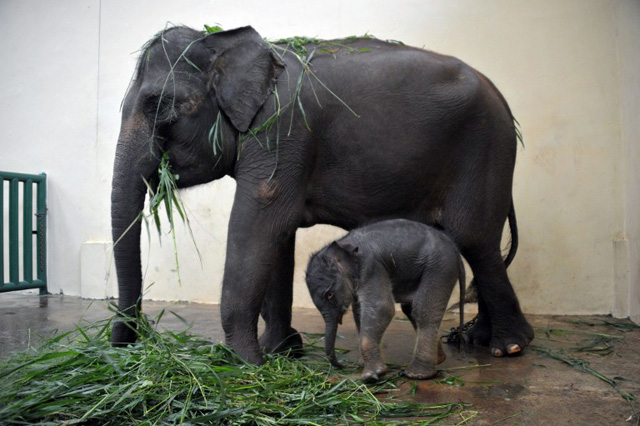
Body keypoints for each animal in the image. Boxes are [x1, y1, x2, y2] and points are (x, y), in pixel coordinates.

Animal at [111, 25, 536, 362]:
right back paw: (479, 340)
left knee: (474, 238)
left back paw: (510, 346)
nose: (126, 346)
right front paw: (282, 351)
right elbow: (278, 238)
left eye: (160, 105)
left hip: (486, 151)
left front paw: (244, 364)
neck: (226, 43)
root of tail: (505, 104)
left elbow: (259, 225)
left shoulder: (280, 131)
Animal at [306, 220, 464, 382]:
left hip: (440, 267)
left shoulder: (371, 266)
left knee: (423, 311)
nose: (341, 364)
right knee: (410, 309)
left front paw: (372, 375)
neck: (343, 243)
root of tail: (455, 249)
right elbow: (359, 312)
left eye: (329, 295)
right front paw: (363, 364)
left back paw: (417, 374)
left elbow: (381, 308)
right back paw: (439, 360)